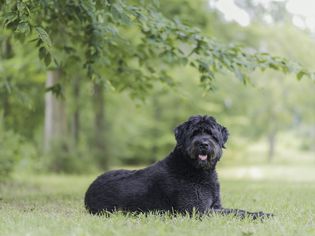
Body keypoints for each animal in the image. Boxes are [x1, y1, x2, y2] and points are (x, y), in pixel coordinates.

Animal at [85, 115, 272, 219]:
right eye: (194, 133)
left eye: (211, 134)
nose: (204, 144)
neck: (195, 170)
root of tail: (88, 191)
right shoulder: (198, 210)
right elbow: (235, 213)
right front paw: (261, 216)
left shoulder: (215, 206)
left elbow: (237, 210)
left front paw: (261, 214)